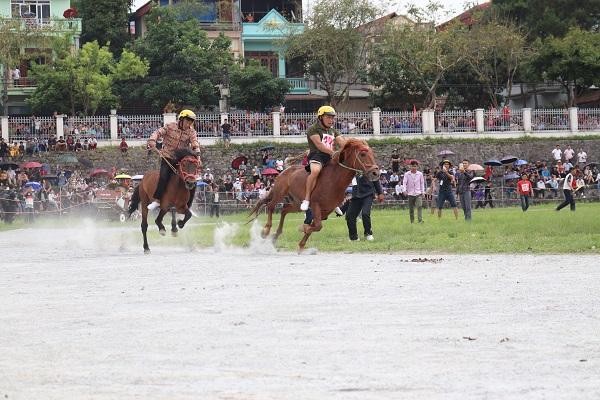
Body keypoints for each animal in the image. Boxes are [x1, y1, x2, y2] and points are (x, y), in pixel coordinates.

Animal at [248, 138, 380, 250]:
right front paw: (303, 229)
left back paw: (276, 236)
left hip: (296, 204)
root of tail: (285, 170)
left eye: (372, 153)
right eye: (363, 154)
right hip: (279, 193)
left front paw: (302, 243)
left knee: (284, 210)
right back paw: (265, 231)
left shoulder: (326, 209)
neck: (334, 180)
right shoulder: (316, 205)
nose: (375, 173)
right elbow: (316, 225)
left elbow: (315, 225)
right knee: (270, 206)